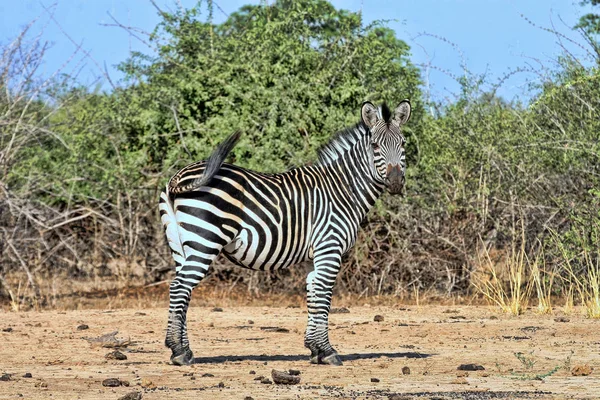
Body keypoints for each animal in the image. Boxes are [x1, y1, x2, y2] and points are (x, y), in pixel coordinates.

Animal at [159, 100, 412, 366]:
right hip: (204, 241)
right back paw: (179, 351)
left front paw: (314, 349)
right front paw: (327, 351)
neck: (343, 188)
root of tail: (178, 177)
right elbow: (324, 295)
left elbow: (313, 293)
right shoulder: (329, 247)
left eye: (403, 143)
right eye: (375, 146)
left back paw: (183, 349)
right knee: (179, 287)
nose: (396, 182)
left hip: (180, 245)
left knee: (182, 290)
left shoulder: (314, 254)